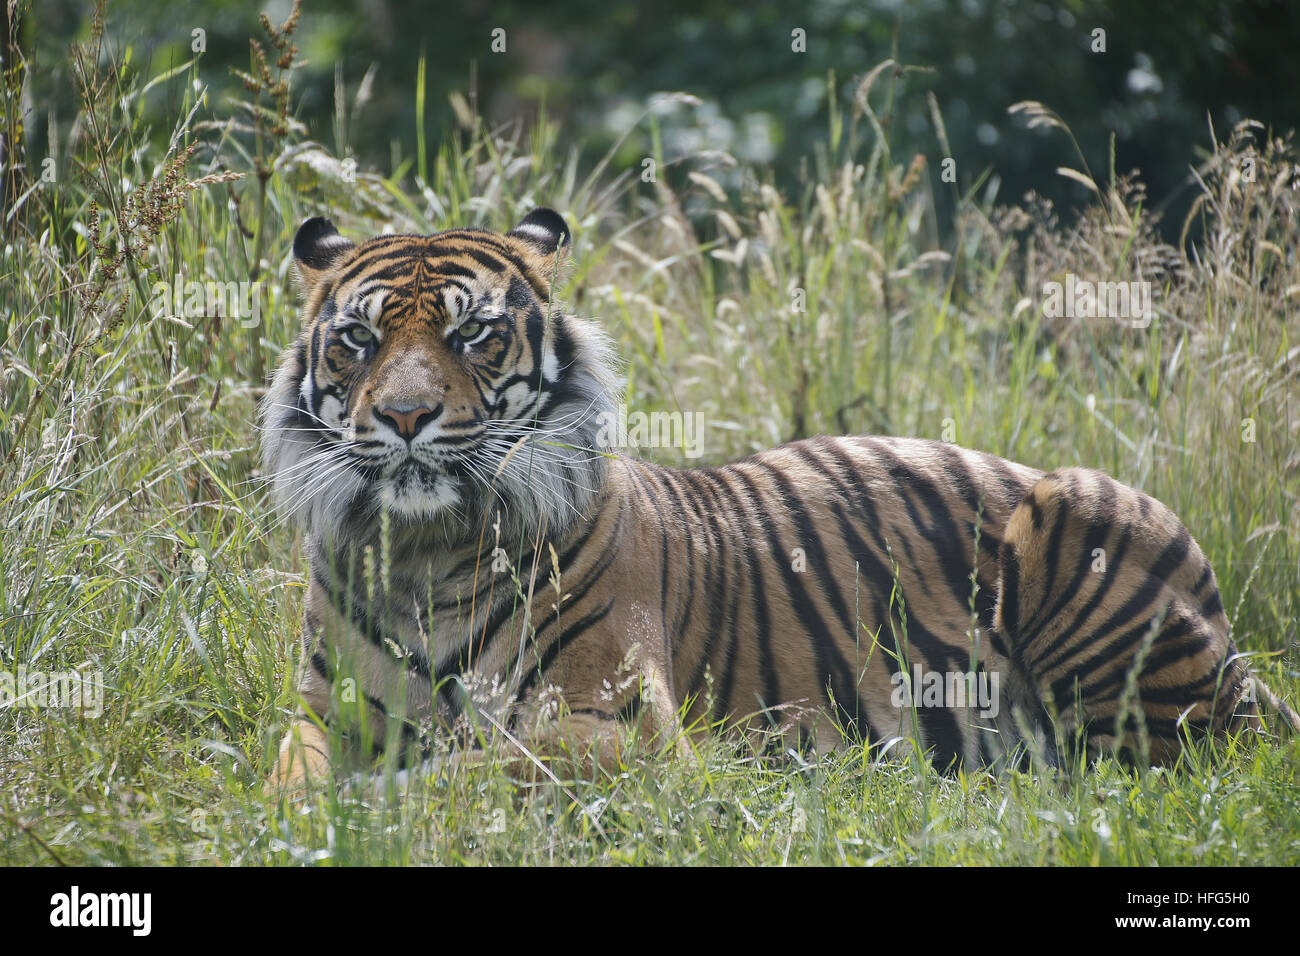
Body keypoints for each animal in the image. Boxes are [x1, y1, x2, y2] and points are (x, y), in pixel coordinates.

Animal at [258, 204, 1294, 790]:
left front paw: (395, 806)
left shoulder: (613, 722)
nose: (404, 416)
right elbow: (293, 782)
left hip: (1076, 516)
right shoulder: (323, 715)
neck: (425, 549)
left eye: (473, 335)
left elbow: (468, 772)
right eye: (357, 340)